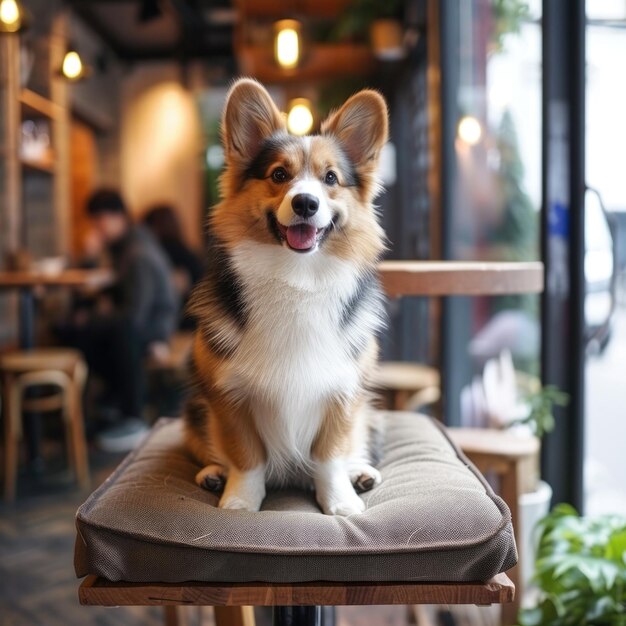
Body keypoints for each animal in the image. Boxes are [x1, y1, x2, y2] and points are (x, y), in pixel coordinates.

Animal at [185, 79, 388, 516]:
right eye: (279, 174)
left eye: (330, 178)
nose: (305, 202)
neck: (298, 278)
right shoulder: (228, 395)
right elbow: (247, 457)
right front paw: (240, 501)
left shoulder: (344, 392)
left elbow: (330, 456)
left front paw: (340, 503)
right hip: (194, 408)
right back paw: (213, 473)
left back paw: (361, 473)